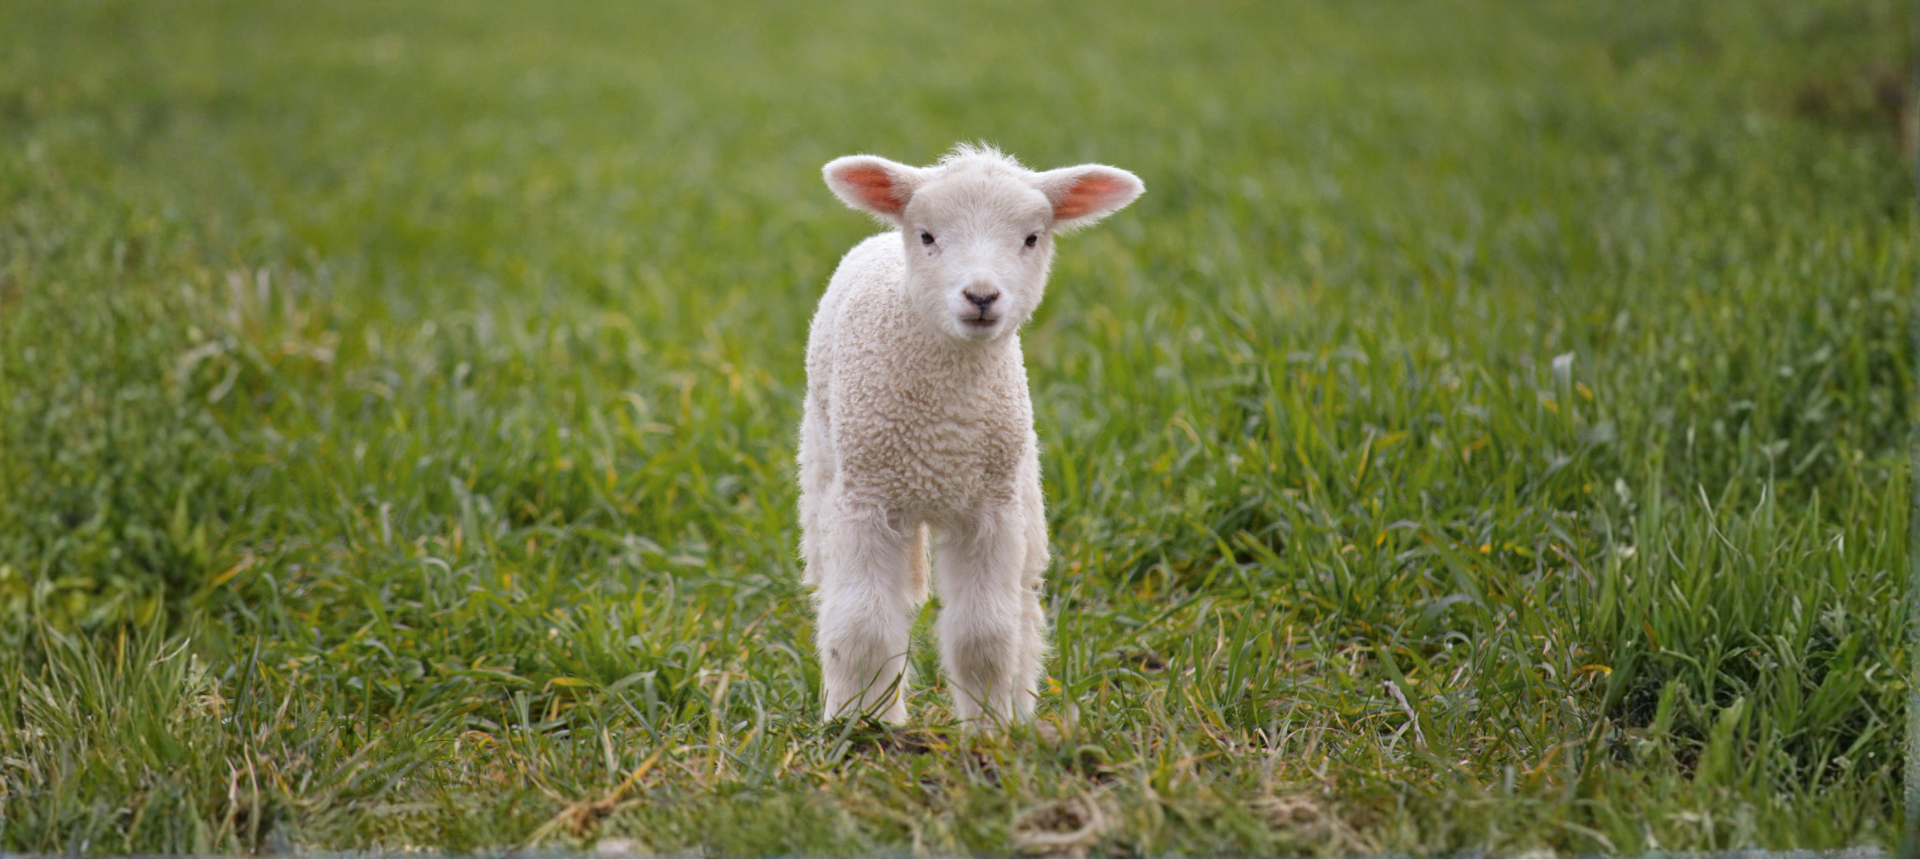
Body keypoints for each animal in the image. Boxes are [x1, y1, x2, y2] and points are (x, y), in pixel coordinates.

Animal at [798, 144, 1143, 726]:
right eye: (927, 236)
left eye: (1031, 238)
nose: (981, 296)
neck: (944, 433)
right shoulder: (864, 500)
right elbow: (862, 626)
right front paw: (862, 727)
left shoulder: (990, 511)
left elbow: (984, 634)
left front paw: (990, 728)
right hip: (825, 464)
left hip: (1024, 487)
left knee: (1023, 604)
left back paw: (1023, 708)